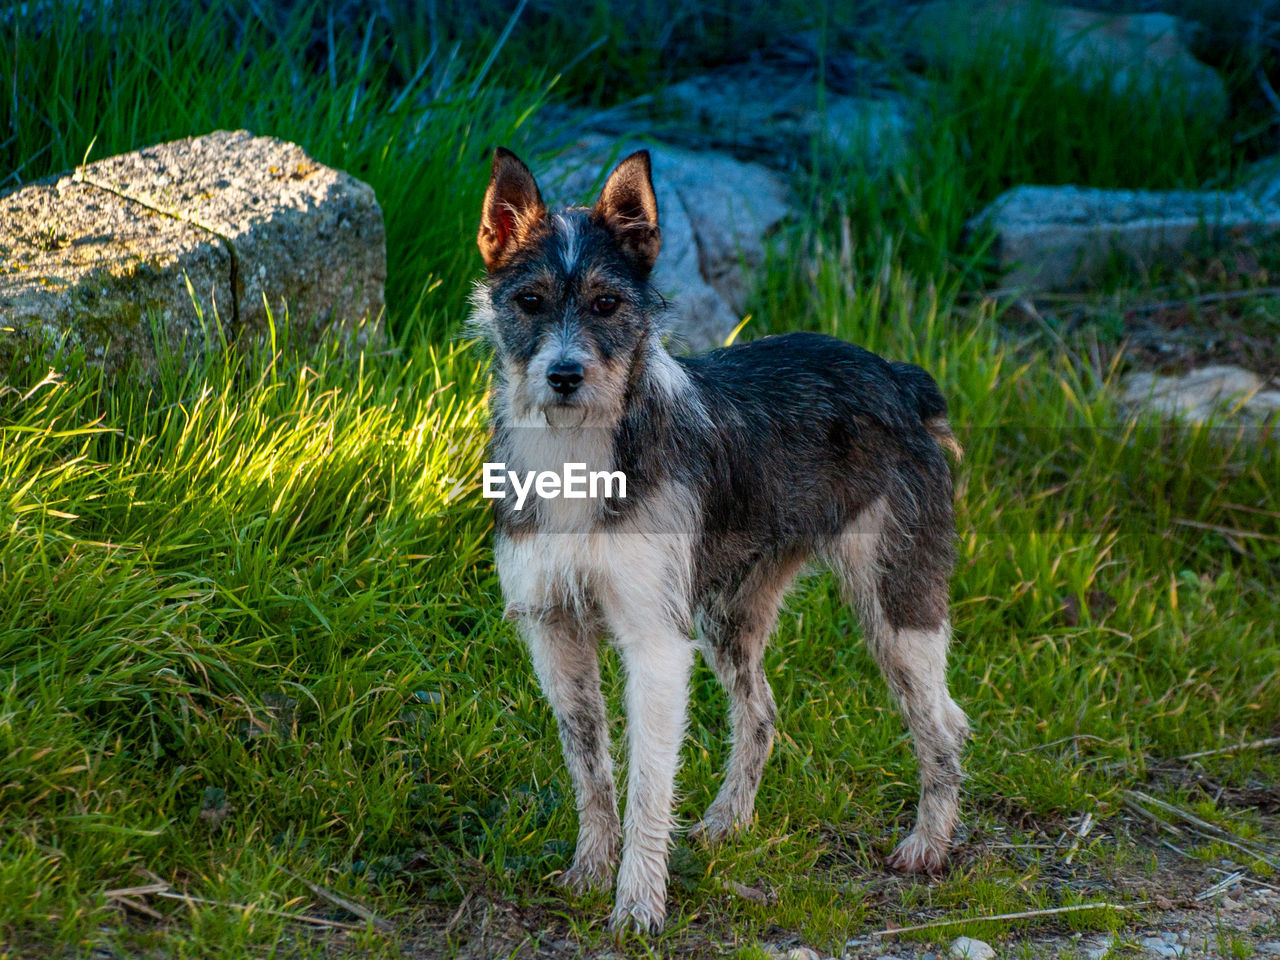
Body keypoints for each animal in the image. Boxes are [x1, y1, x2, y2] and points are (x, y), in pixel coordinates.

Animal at [471, 146, 967, 936]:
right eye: (529, 302)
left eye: (607, 305)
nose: (564, 374)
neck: (580, 453)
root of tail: (898, 375)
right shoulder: (554, 632)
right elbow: (592, 769)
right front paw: (590, 873)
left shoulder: (655, 645)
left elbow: (646, 786)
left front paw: (639, 905)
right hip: (728, 615)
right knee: (761, 714)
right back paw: (729, 823)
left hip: (896, 607)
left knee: (943, 724)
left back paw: (929, 844)